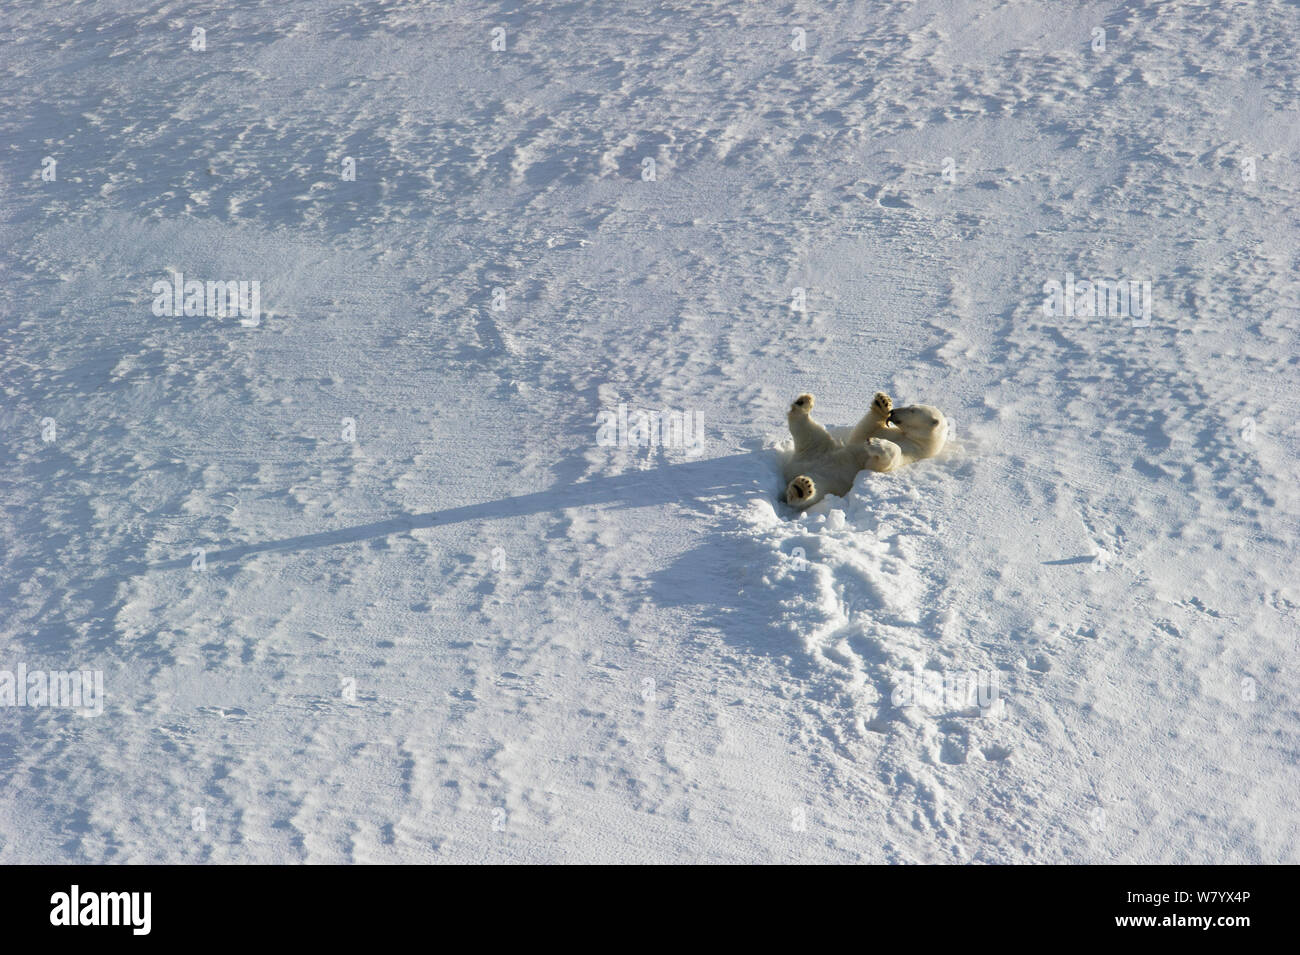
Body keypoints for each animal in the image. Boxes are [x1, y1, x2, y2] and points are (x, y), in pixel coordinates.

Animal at [774, 389, 951, 509]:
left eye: (913, 410)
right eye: (911, 405)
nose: (893, 413)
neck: (911, 438)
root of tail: (794, 468)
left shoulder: (912, 453)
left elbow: (884, 460)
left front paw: (877, 444)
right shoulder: (885, 432)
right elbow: (864, 430)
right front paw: (883, 402)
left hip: (830, 482)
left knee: (814, 489)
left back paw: (801, 488)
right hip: (819, 448)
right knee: (808, 430)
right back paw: (803, 402)